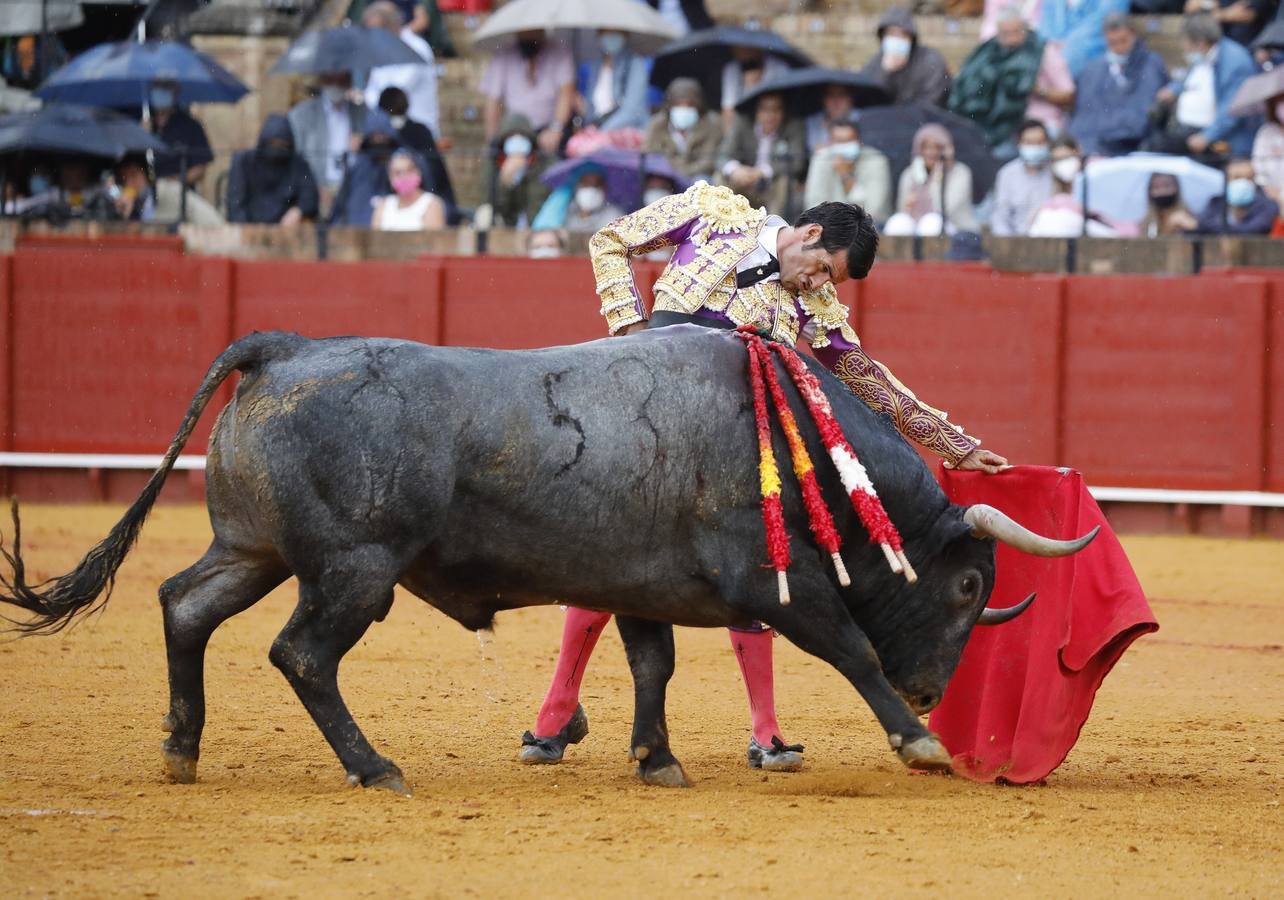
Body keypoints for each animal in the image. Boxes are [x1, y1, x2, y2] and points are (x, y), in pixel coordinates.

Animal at [0, 326, 1093, 790]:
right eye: (968, 584)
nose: (933, 689)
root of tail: (284, 347)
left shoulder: (644, 583)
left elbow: (653, 663)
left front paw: (655, 759)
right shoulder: (777, 586)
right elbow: (850, 650)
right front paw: (919, 744)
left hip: (252, 548)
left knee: (185, 605)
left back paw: (182, 749)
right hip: (356, 567)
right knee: (303, 654)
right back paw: (375, 768)